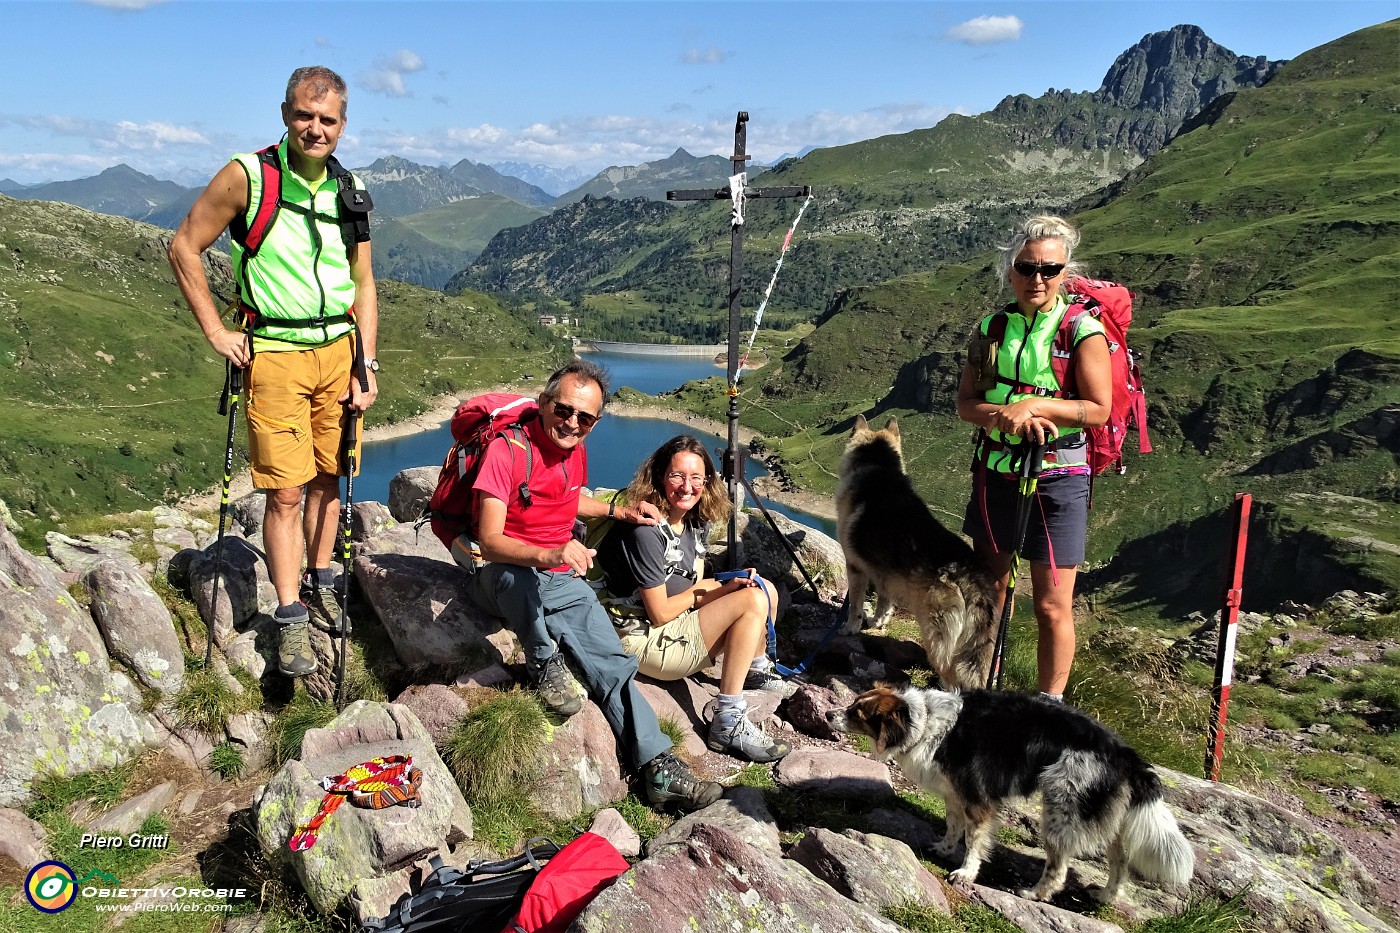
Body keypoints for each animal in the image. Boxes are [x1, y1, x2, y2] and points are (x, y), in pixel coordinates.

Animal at [828, 683, 1192, 902]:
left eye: (857, 713)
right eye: (855, 702)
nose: (830, 713)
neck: (922, 721)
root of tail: (1125, 754)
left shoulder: (978, 800)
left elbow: (974, 840)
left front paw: (965, 872)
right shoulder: (954, 793)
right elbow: (953, 825)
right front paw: (943, 849)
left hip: (1061, 809)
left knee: (1058, 867)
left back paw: (1034, 894)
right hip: (1105, 818)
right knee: (1120, 861)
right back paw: (1105, 896)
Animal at [834, 417, 1002, 686]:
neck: (879, 467)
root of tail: (971, 575)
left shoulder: (856, 567)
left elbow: (855, 606)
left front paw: (849, 628)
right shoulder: (884, 573)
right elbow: (884, 602)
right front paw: (878, 622)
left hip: (936, 637)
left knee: (951, 675)